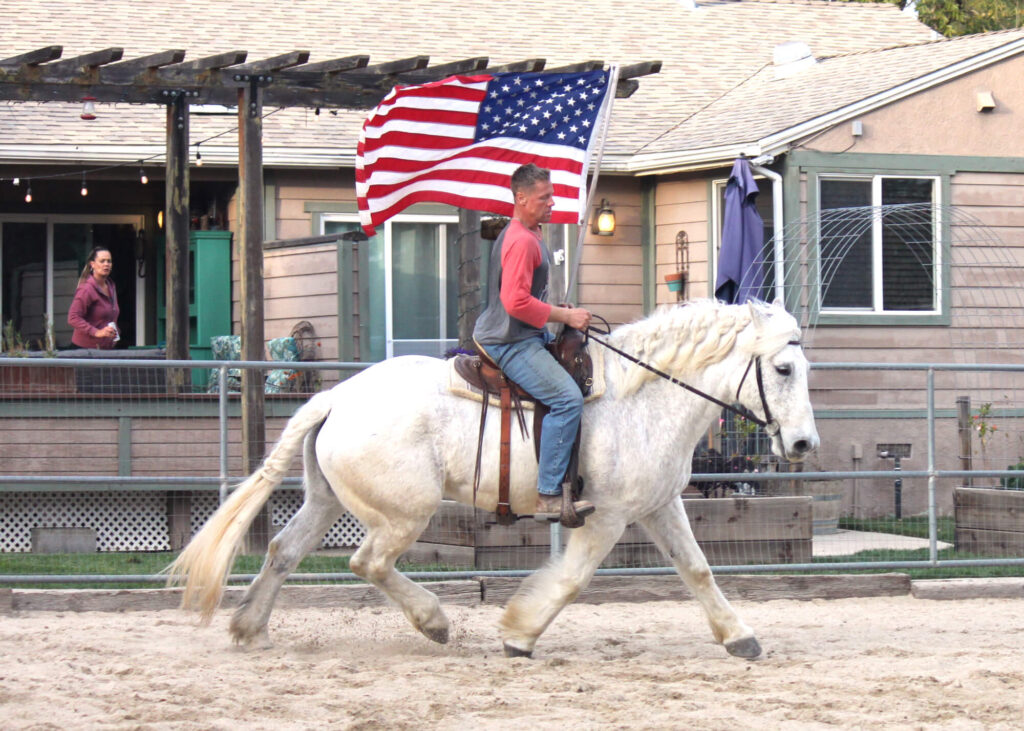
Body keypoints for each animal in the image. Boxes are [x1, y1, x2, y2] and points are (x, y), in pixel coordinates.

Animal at [172, 296, 819, 655]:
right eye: (784, 368)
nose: (804, 443)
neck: (642, 396)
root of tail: (335, 397)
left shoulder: (660, 505)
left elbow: (698, 569)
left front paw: (738, 636)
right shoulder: (606, 516)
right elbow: (572, 580)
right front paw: (519, 633)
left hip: (327, 500)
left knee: (283, 550)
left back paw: (250, 627)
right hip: (405, 513)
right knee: (368, 562)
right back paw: (433, 622)